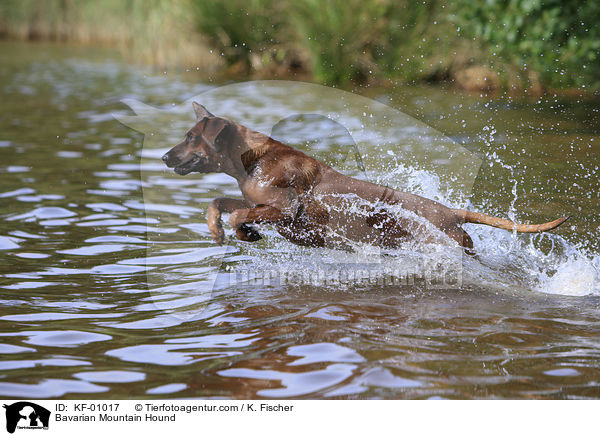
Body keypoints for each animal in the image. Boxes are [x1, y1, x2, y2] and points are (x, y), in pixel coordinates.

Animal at [163, 102, 568, 252]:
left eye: (190, 138)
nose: (165, 157)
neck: (252, 160)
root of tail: (452, 212)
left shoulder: (285, 208)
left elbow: (237, 213)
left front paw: (244, 231)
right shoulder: (254, 198)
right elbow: (220, 203)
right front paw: (218, 230)